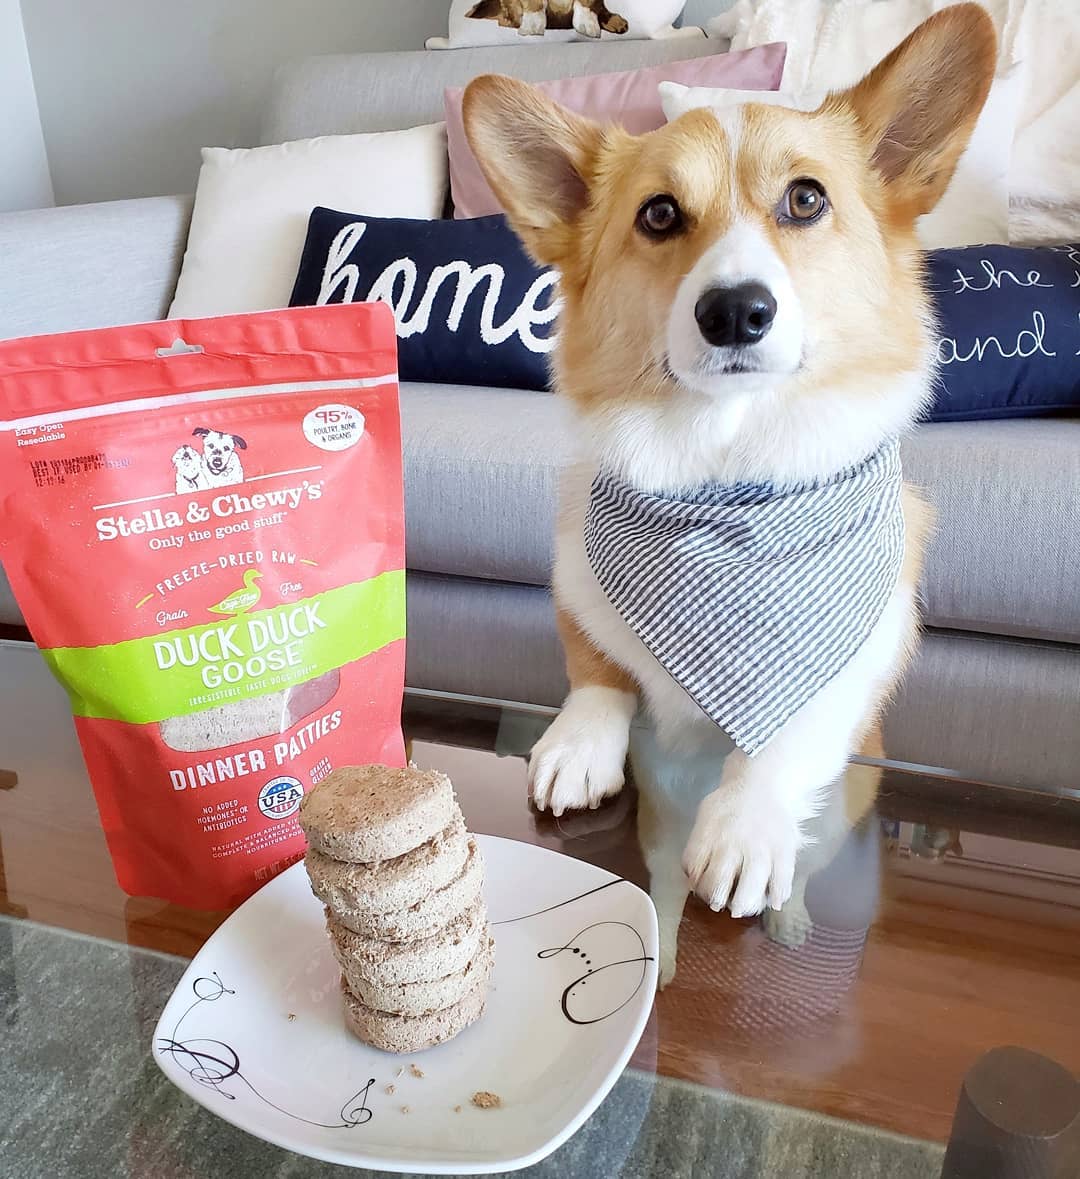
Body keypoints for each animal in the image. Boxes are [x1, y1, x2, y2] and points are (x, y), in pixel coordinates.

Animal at [464, 4, 995, 914]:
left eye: (806, 198)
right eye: (659, 215)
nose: (736, 311)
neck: (725, 474)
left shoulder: (849, 670)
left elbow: (791, 727)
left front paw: (745, 823)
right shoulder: (577, 591)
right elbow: (597, 669)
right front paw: (579, 743)